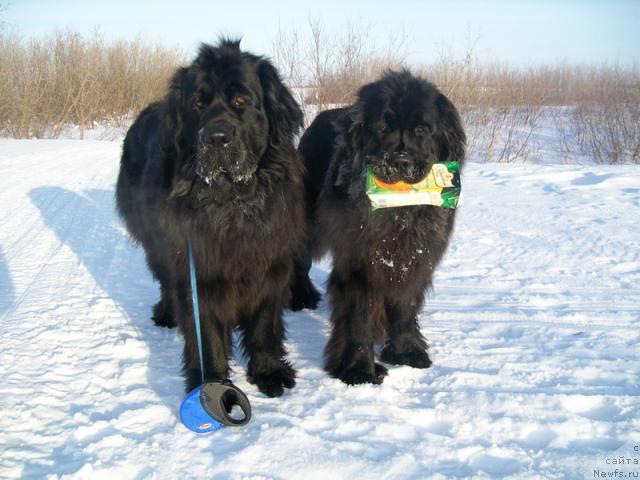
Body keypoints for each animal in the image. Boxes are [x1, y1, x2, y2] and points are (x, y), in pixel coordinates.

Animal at [115, 39, 304, 396]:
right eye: (197, 104)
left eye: (241, 100)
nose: (215, 138)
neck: (232, 202)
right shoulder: (198, 266)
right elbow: (207, 332)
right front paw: (214, 387)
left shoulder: (270, 260)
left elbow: (263, 323)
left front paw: (269, 371)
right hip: (155, 240)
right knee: (165, 279)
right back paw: (166, 313)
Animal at [292, 69, 464, 386]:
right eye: (382, 128)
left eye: (421, 130)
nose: (400, 161)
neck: (399, 211)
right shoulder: (359, 262)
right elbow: (359, 317)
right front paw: (358, 369)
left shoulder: (415, 258)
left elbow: (405, 306)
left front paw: (406, 352)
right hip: (308, 221)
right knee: (299, 258)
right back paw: (302, 296)